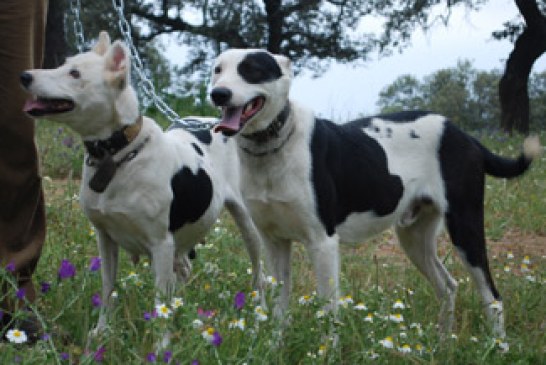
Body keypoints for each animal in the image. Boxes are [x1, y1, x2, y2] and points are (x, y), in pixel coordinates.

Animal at [22, 33, 264, 336]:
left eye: (74, 74)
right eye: (63, 65)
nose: (25, 76)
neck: (118, 154)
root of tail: (218, 124)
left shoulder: (161, 244)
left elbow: (160, 302)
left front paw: (162, 342)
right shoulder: (105, 238)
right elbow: (108, 288)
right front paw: (102, 331)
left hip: (247, 226)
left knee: (258, 270)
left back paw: (258, 312)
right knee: (183, 271)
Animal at [209, 47, 540, 336]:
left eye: (252, 70)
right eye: (217, 70)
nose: (218, 94)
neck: (272, 147)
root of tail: (464, 135)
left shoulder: (323, 243)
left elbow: (328, 311)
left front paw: (326, 352)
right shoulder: (274, 243)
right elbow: (279, 311)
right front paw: (275, 348)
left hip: (465, 227)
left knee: (492, 296)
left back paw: (498, 347)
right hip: (414, 237)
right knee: (448, 287)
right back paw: (441, 345)